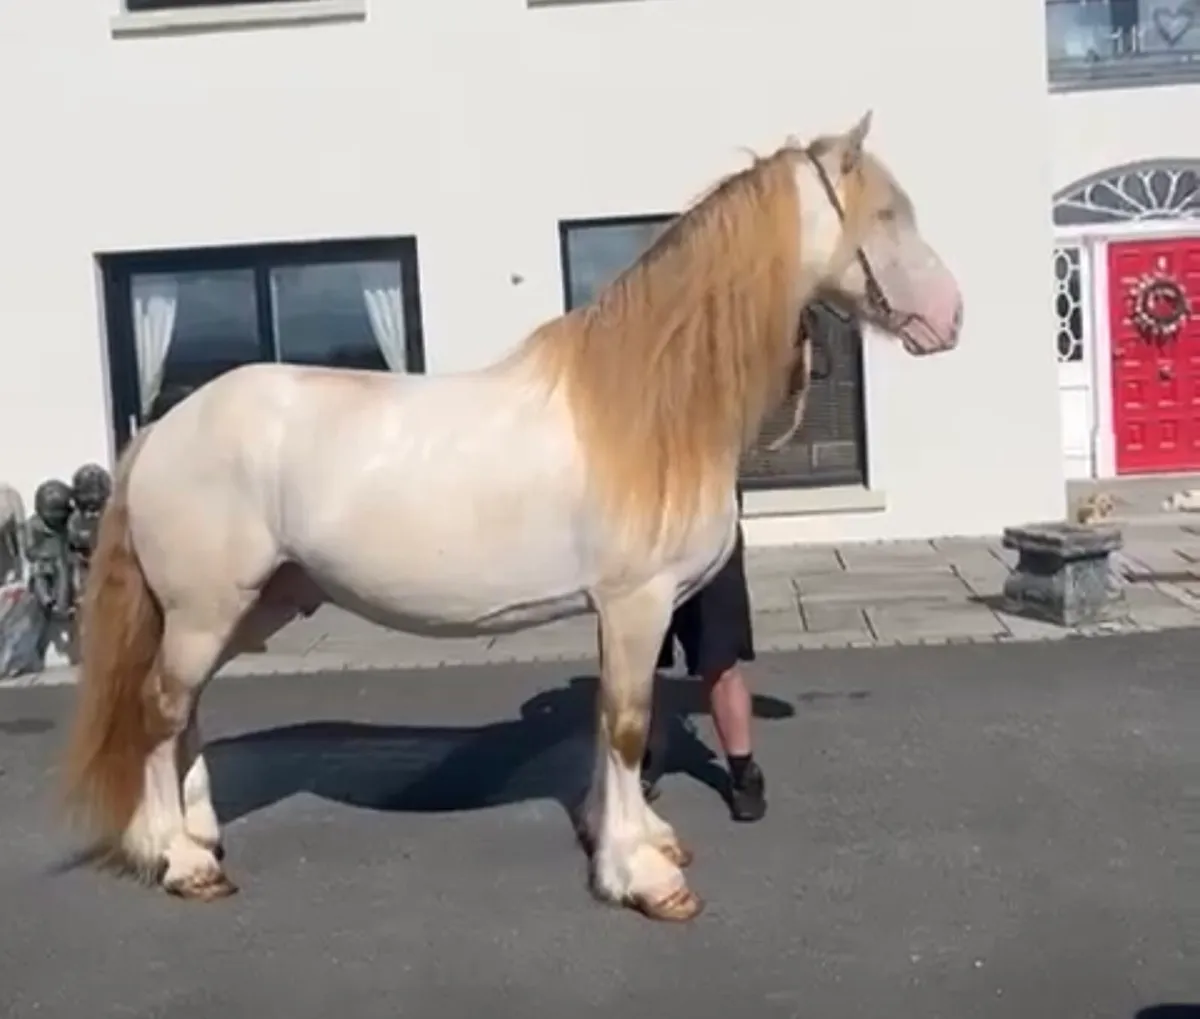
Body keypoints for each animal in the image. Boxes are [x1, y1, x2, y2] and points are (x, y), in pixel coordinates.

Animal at [59, 111, 964, 923]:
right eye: (887, 214)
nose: (951, 316)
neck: (647, 406)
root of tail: (161, 429)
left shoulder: (618, 610)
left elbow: (608, 726)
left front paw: (634, 839)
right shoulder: (636, 603)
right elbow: (628, 726)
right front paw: (645, 879)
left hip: (251, 606)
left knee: (184, 712)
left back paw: (200, 835)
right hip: (205, 609)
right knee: (160, 709)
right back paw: (179, 860)